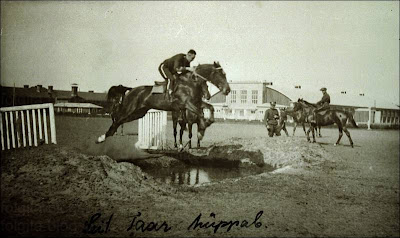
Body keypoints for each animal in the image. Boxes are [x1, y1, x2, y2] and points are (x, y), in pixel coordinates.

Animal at [95, 61, 231, 143]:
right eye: (220, 74)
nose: (228, 90)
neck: (190, 83)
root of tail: (131, 90)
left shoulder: (196, 103)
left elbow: (211, 108)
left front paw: (206, 125)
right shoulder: (187, 104)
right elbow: (201, 113)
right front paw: (201, 130)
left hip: (139, 113)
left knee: (120, 121)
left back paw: (105, 137)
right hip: (129, 109)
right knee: (117, 119)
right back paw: (101, 138)